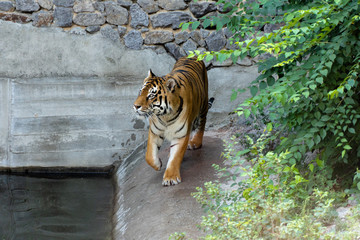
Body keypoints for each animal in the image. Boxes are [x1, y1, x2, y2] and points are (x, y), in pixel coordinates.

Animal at [134, 57, 214, 187]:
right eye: (140, 92)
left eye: (151, 95)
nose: (135, 106)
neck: (165, 116)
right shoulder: (155, 131)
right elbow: (149, 155)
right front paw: (158, 164)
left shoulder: (180, 134)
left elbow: (175, 157)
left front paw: (170, 178)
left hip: (203, 104)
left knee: (202, 124)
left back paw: (195, 142)